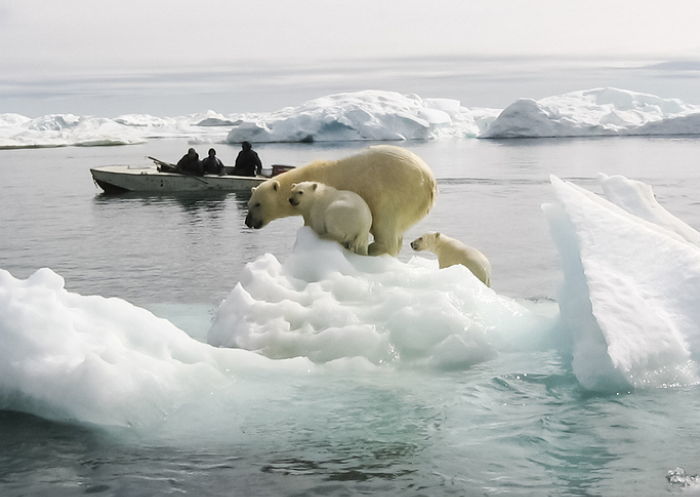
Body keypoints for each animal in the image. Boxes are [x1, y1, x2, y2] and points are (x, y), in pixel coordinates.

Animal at [243, 141, 434, 254]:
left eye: (258, 204)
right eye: (249, 204)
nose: (248, 222)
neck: (310, 174)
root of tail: (430, 181)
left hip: (394, 195)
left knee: (385, 225)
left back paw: (376, 248)